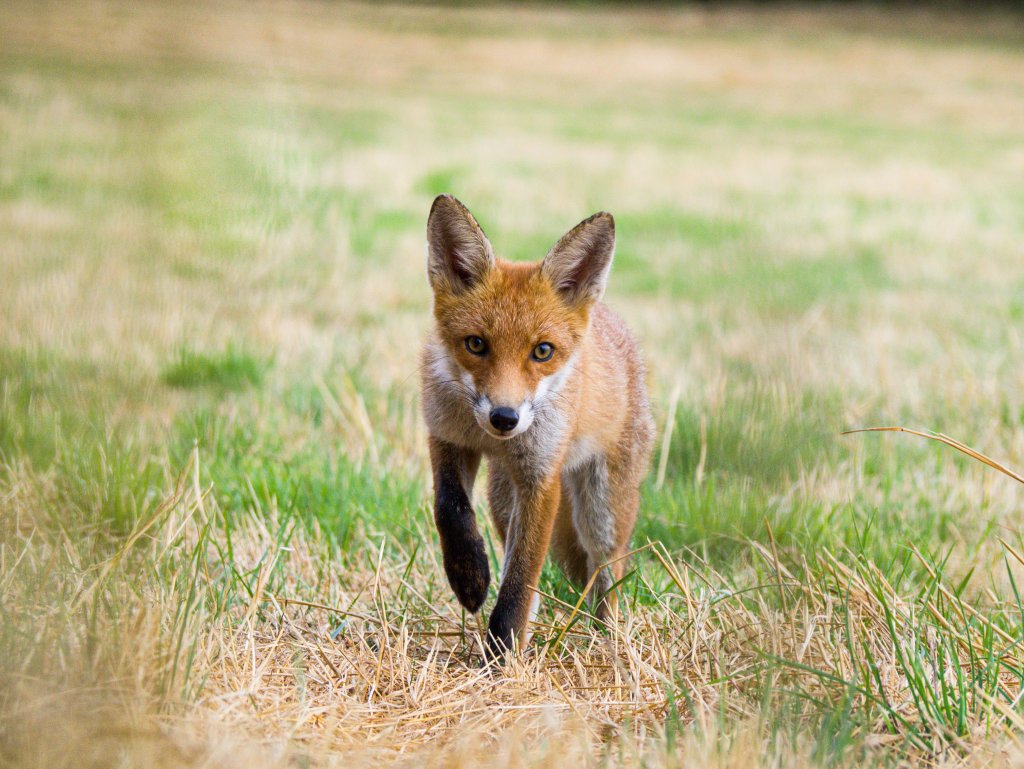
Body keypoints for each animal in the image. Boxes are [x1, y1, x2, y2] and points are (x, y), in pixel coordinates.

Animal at [420, 194, 654, 661]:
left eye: (542, 351)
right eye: (476, 344)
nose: (504, 418)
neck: (488, 438)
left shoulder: (540, 478)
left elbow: (521, 576)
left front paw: (502, 653)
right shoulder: (447, 437)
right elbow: (449, 509)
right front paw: (468, 576)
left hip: (601, 509)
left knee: (607, 568)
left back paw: (607, 638)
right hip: (501, 498)